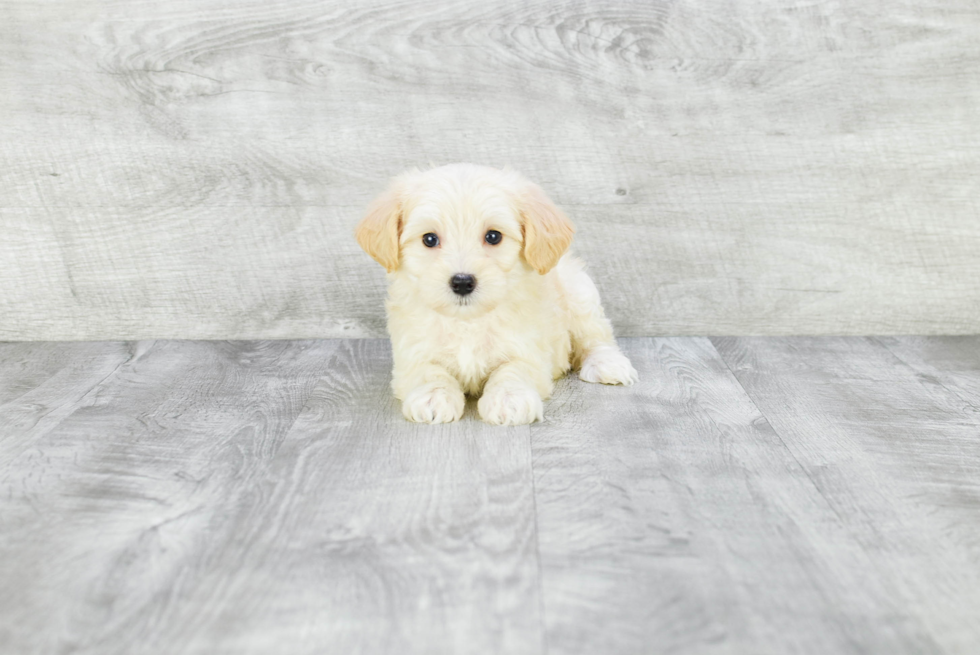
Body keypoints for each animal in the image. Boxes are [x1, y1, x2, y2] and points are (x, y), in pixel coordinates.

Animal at [356, 165, 640, 426]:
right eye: (429, 239)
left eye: (493, 236)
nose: (462, 282)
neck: (467, 321)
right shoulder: (411, 354)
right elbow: (429, 372)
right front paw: (433, 397)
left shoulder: (529, 350)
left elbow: (512, 370)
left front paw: (509, 399)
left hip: (580, 293)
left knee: (596, 337)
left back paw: (607, 364)